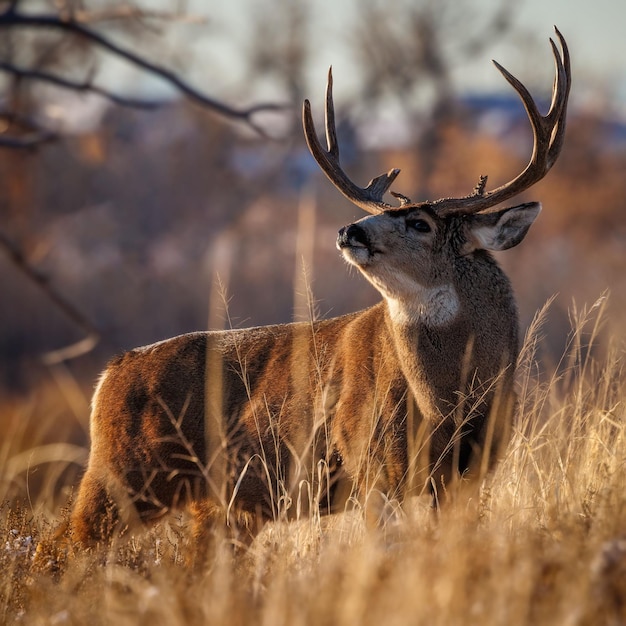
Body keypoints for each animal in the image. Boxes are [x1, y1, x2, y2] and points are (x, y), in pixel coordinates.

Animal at [69, 29, 572, 544]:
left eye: (420, 223)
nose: (350, 230)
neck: (450, 403)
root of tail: (109, 374)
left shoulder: (470, 472)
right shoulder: (372, 462)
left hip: (209, 505)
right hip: (123, 476)